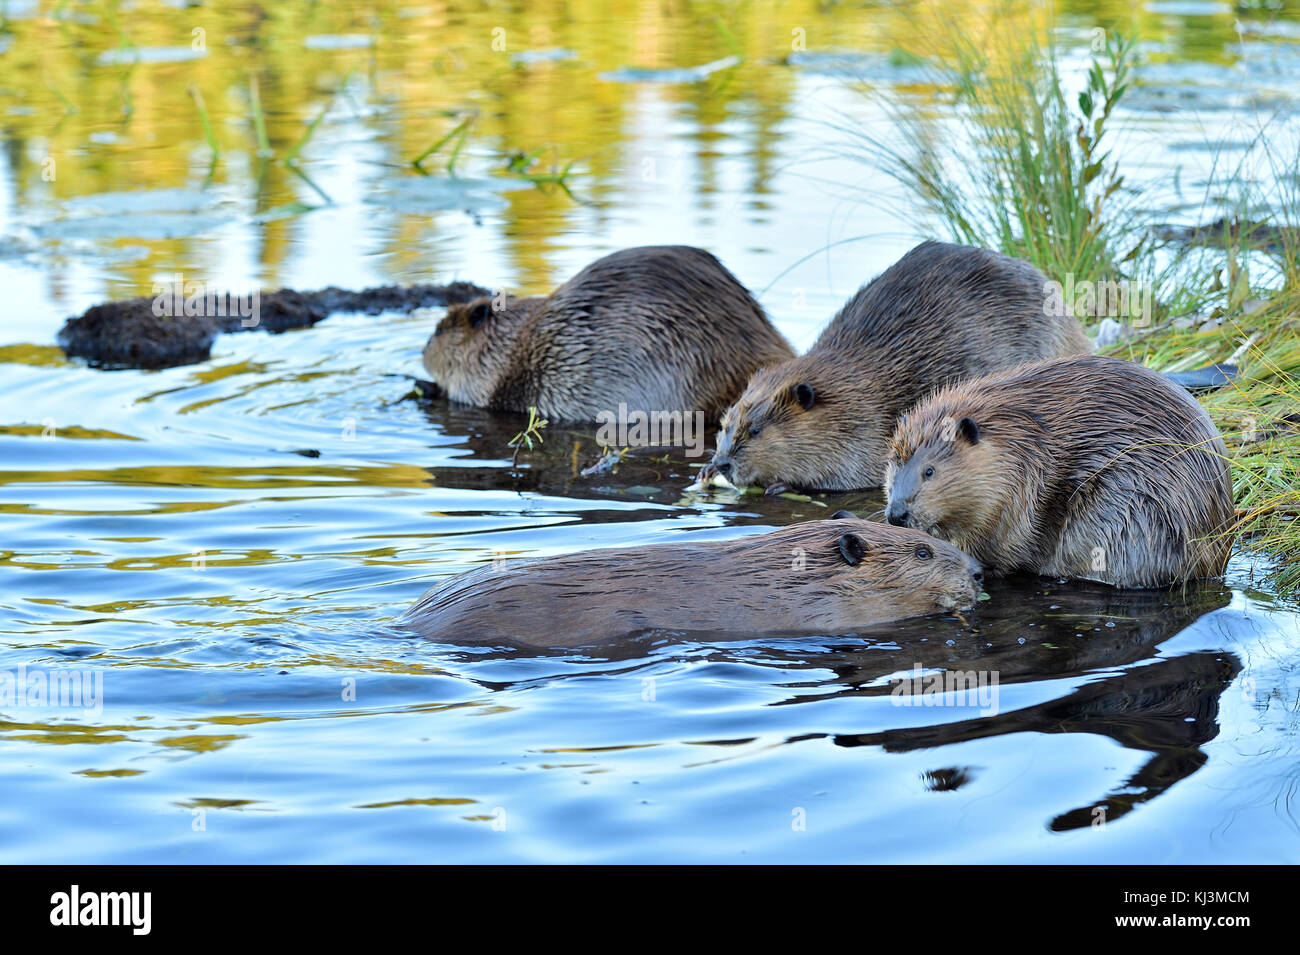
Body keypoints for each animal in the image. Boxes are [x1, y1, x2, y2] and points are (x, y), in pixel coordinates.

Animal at [702, 239, 1086, 493]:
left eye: (756, 431)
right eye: (725, 424)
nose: (723, 463)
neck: (851, 389)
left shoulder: (868, 430)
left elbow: (852, 477)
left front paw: (782, 485)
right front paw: (705, 471)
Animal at [883, 353, 1237, 589]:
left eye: (929, 471)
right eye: (894, 465)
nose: (896, 513)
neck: (1020, 440)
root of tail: (1218, 560)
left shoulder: (1018, 498)